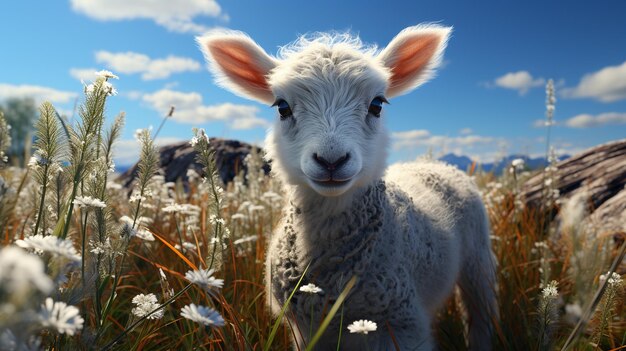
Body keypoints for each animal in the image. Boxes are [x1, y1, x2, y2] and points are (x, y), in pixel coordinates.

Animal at [197, 24, 494, 351]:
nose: (331, 160)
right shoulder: (303, 328)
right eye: (282, 107)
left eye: (377, 104)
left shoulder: (404, 325)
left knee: (481, 313)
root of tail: (434, 163)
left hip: (478, 259)